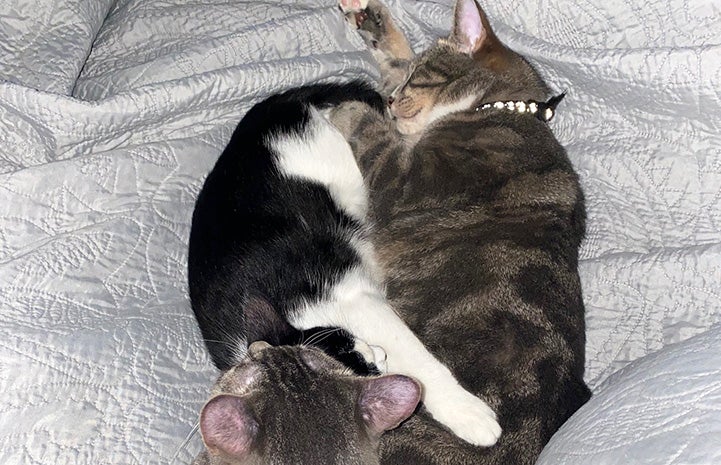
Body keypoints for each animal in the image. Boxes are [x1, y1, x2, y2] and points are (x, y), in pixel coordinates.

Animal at [186, 81, 500, 462]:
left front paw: (468, 413)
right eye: (362, 360)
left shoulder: (358, 301)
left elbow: (419, 361)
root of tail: (277, 103)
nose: (378, 353)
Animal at [330, 0, 592, 462]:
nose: (391, 100)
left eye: (420, 76)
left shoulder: (402, 178)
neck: (497, 107)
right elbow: (393, 58)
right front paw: (371, 18)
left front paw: (350, 106)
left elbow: (374, 133)